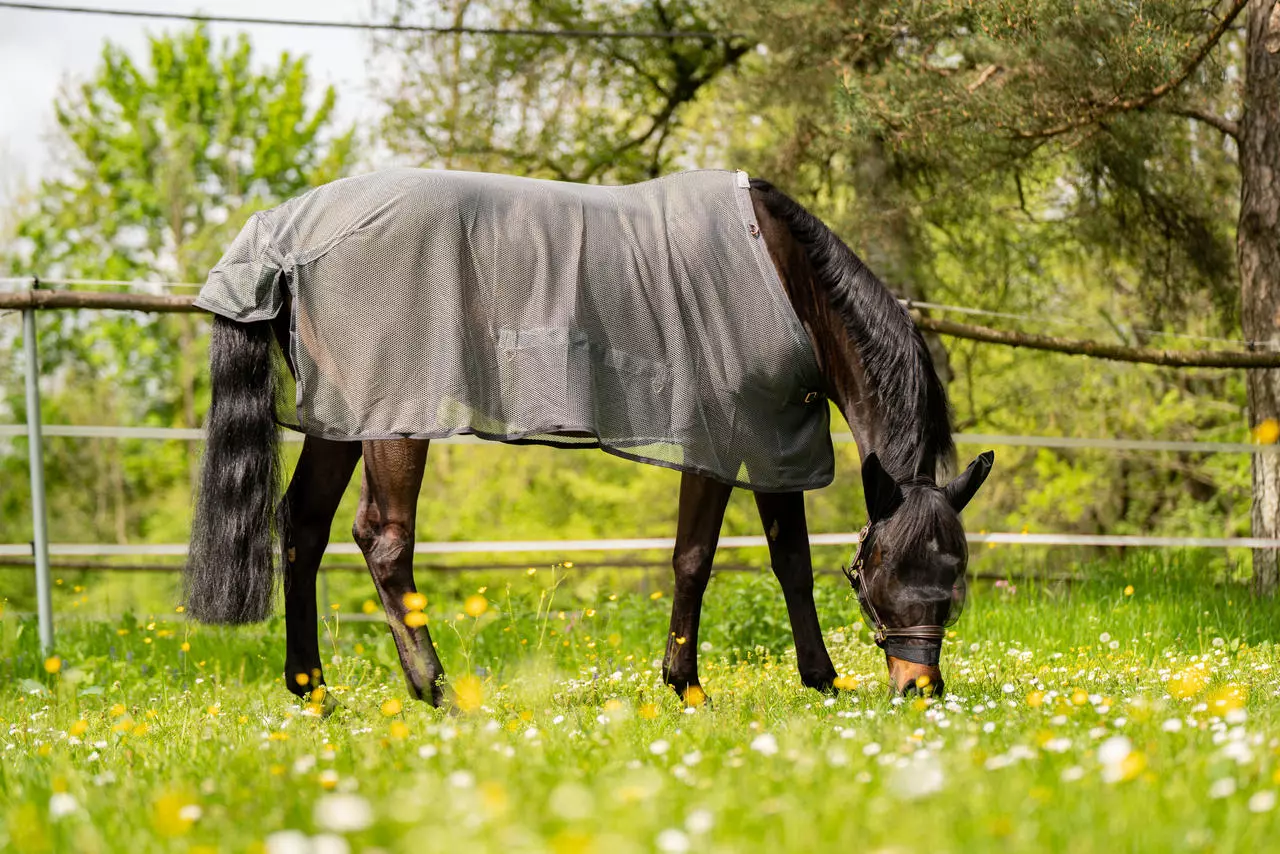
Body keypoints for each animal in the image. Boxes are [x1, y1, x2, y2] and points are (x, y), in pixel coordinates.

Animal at [183, 168, 993, 703]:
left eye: (954, 576)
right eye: (879, 571)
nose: (921, 688)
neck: (782, 275)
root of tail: (285, 233)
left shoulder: (775, 439)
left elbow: (790, 560)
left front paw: (821, 682)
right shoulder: (723, 436)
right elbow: (694, 559)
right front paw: (687, 688)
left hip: (341, 418)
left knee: (303, 526)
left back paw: (312, 689)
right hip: (392, 419)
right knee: (382, 541)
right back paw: (437, 691)